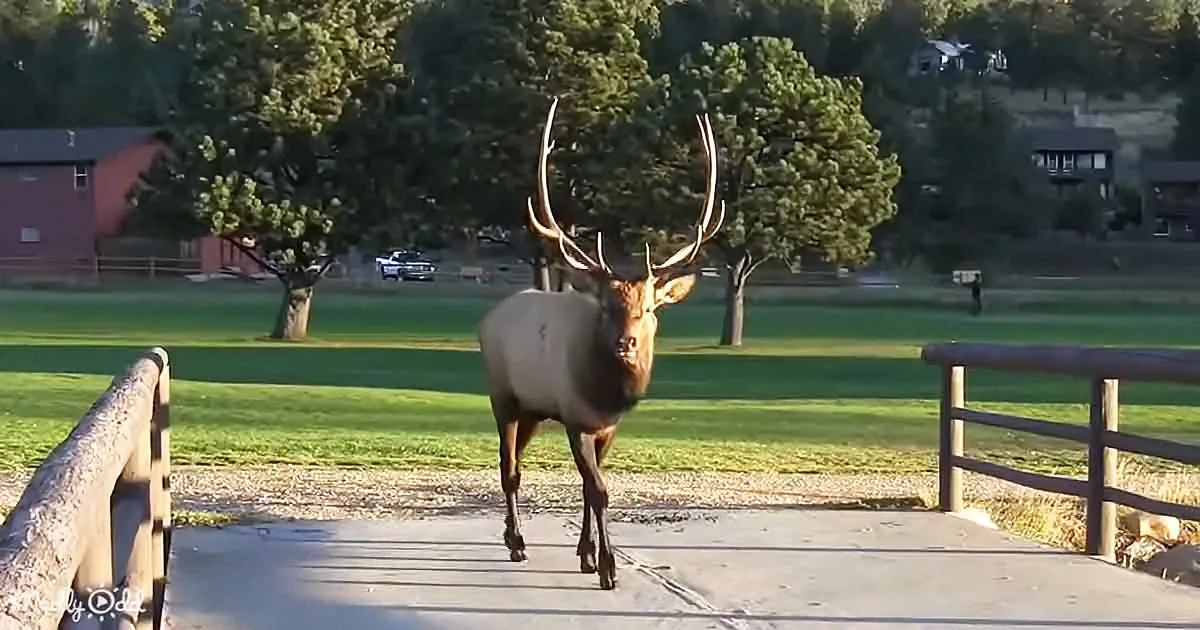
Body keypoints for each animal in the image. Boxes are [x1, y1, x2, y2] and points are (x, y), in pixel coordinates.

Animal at [476, 97, 724, 590]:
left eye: (647, 308)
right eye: (607, 307)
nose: (625, 343)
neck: (606, 394)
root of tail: (490, 316)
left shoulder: (608, 426)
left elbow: (590, 488)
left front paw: (587, 554)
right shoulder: (576, 418)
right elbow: (599, 489)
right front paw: (608, 567)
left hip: (534, 410)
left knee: (517, 463)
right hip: (503, 396)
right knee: (508, 467)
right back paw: (515, 542)